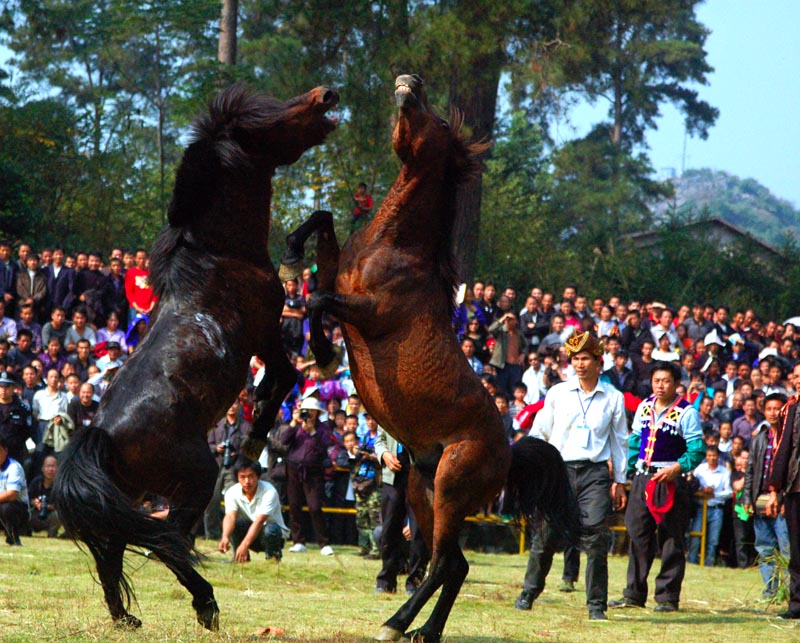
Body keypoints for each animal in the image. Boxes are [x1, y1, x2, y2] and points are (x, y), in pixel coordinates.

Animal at [54, 83, 338, 632]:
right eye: (267, 119)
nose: (325, 94)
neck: (219, 256)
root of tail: (101, 435)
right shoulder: (267, 331)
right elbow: (290, 365)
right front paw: (256, 433)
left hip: (129, 496)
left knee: (116, 545)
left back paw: (126, 617)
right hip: (196, 477)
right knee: (165, 542)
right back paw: (205, 604)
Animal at [282, 73, 576, 640]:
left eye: (437, 119)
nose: (407, 82)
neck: (397, 246)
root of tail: (509, 451)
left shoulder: (370, 312)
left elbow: (319, 301)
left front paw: (324, 354)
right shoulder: (339, 271)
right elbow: (321, 227)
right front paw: (288, 256)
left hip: (450, 489)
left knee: (441, 562)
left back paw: (396, 623)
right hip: (422, 488)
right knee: (453, 564)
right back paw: (425, 630)